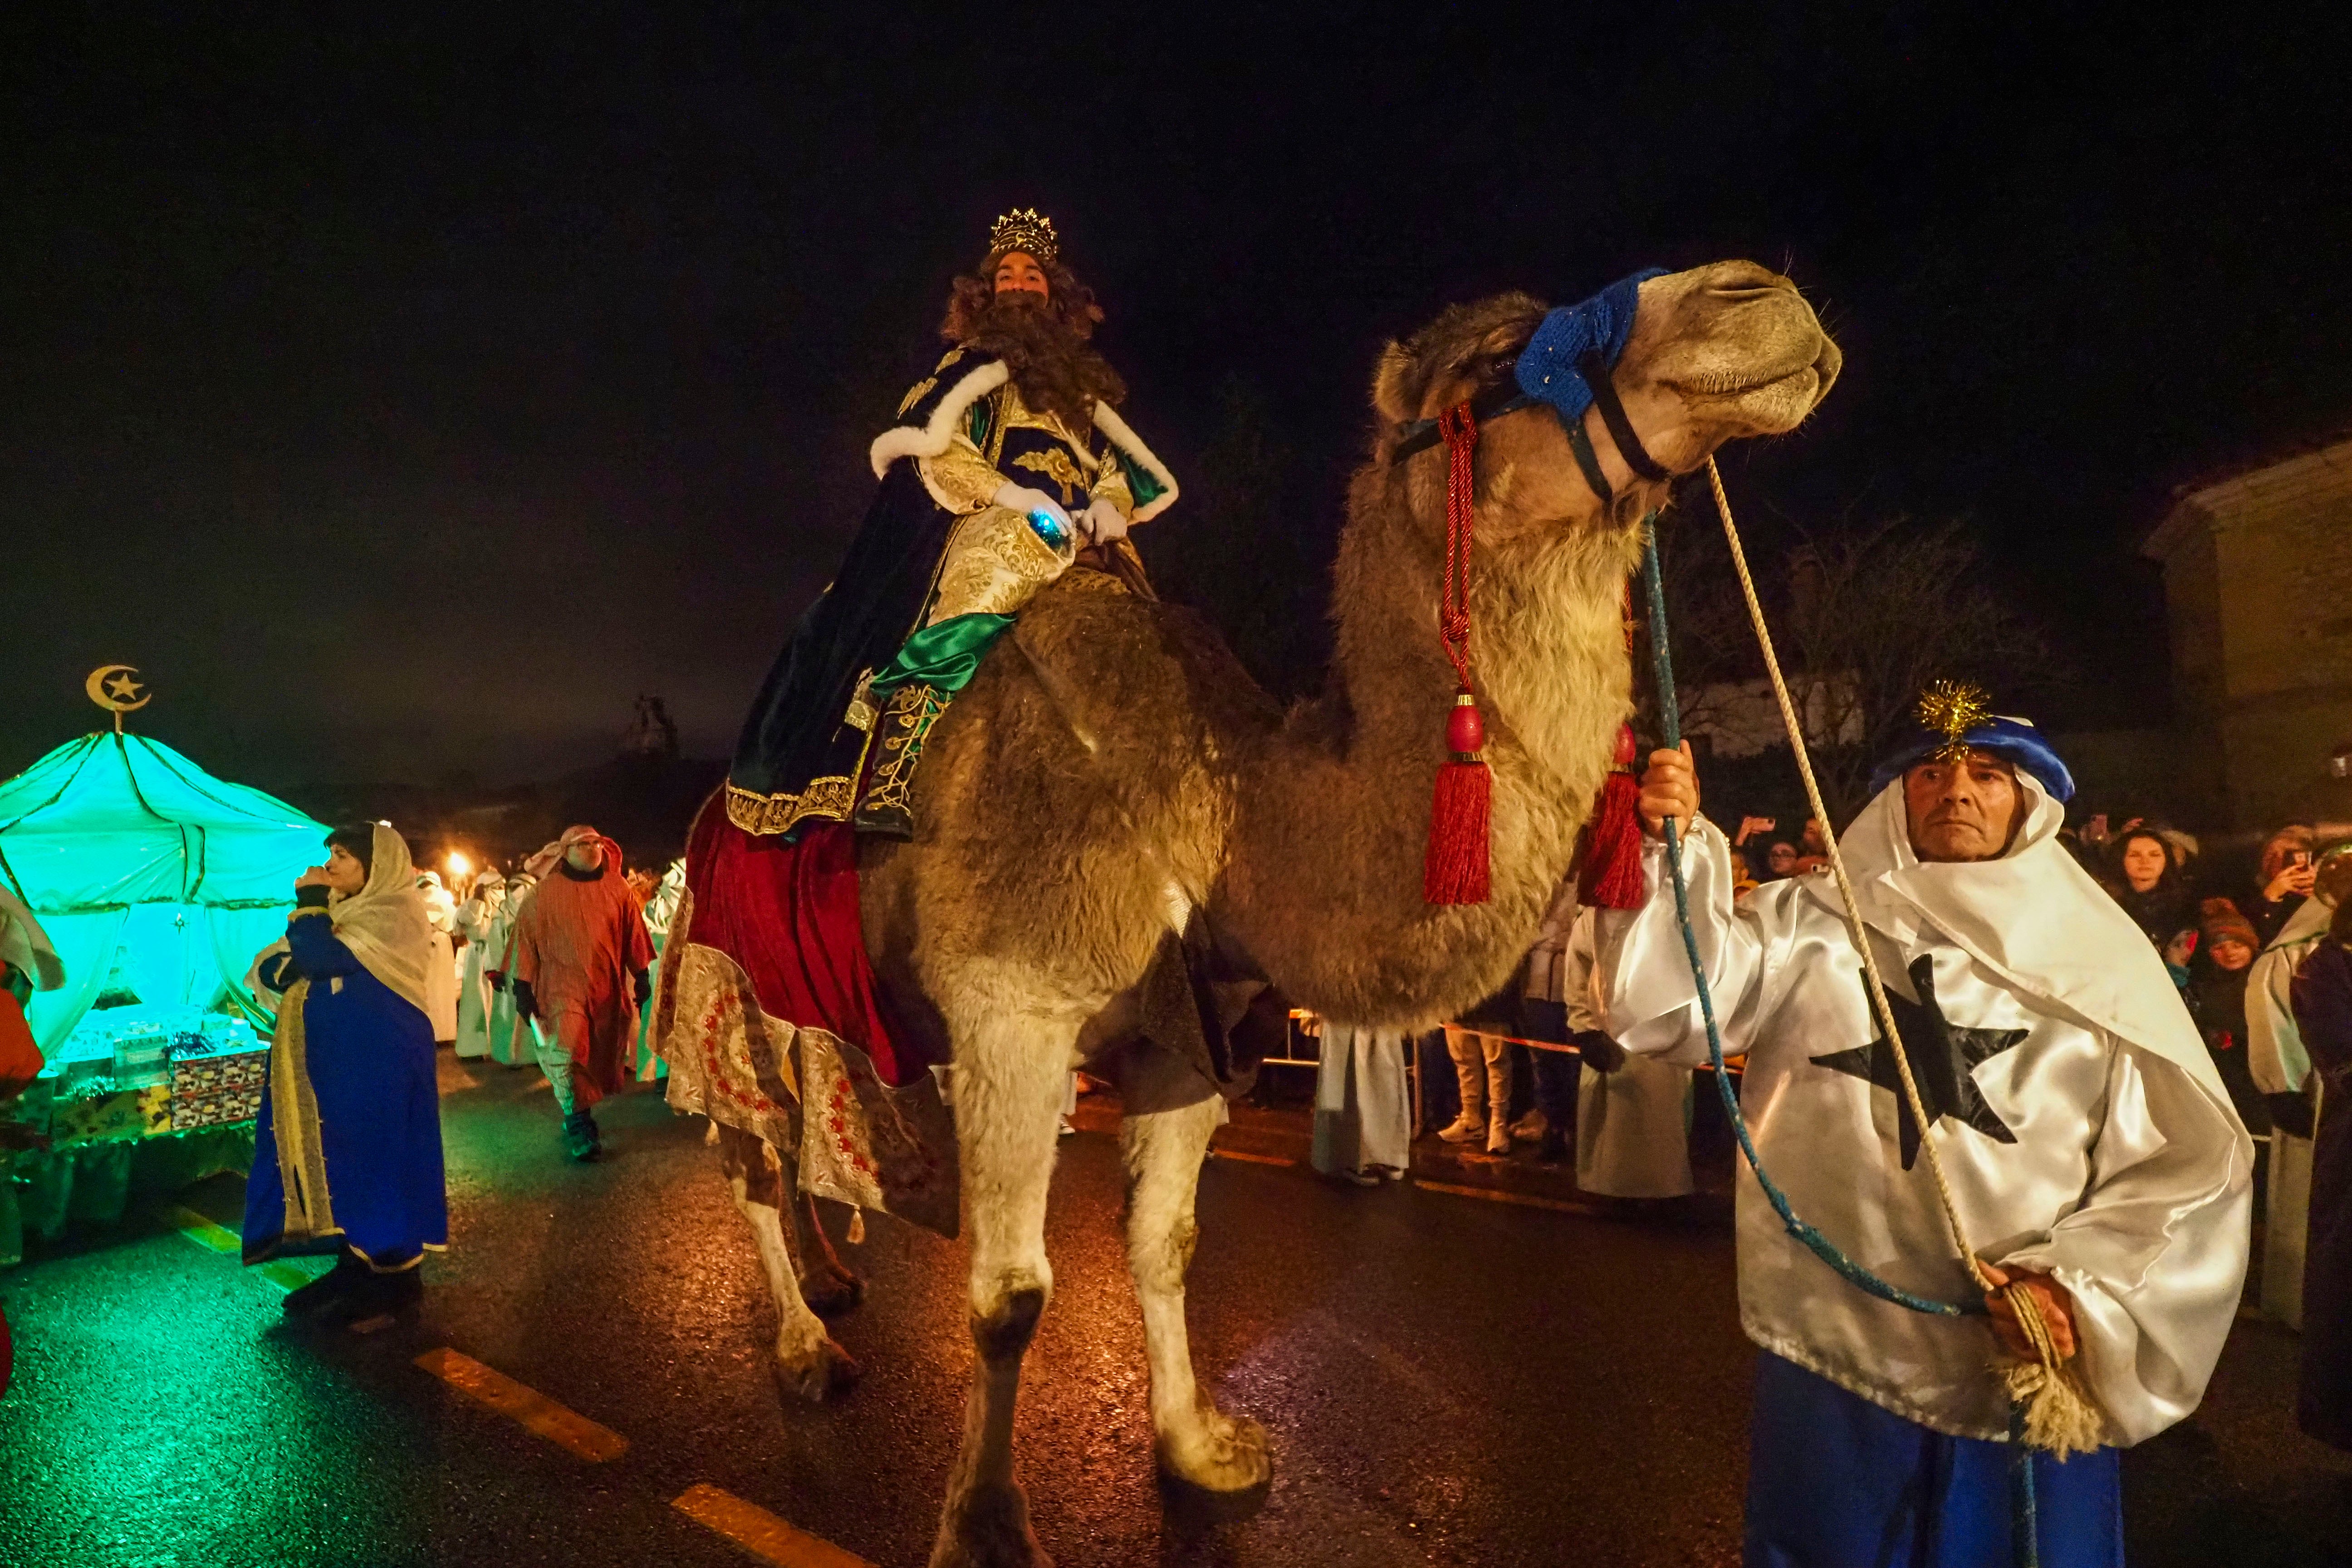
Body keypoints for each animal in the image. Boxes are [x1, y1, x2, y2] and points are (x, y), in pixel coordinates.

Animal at [701, 263, 1834, 1561]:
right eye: (1493, 361)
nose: (1760, 294)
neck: (1225, 814)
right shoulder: (1013, 1007)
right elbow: (1009, 1295)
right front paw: (985, 1525)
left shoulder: (1192, 1033)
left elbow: (1166, 1243)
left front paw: (1201, 1450)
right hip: (724, 964)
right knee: (748, 1151)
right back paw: (805, 1348)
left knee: (809, 1120)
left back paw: (838, 1283)